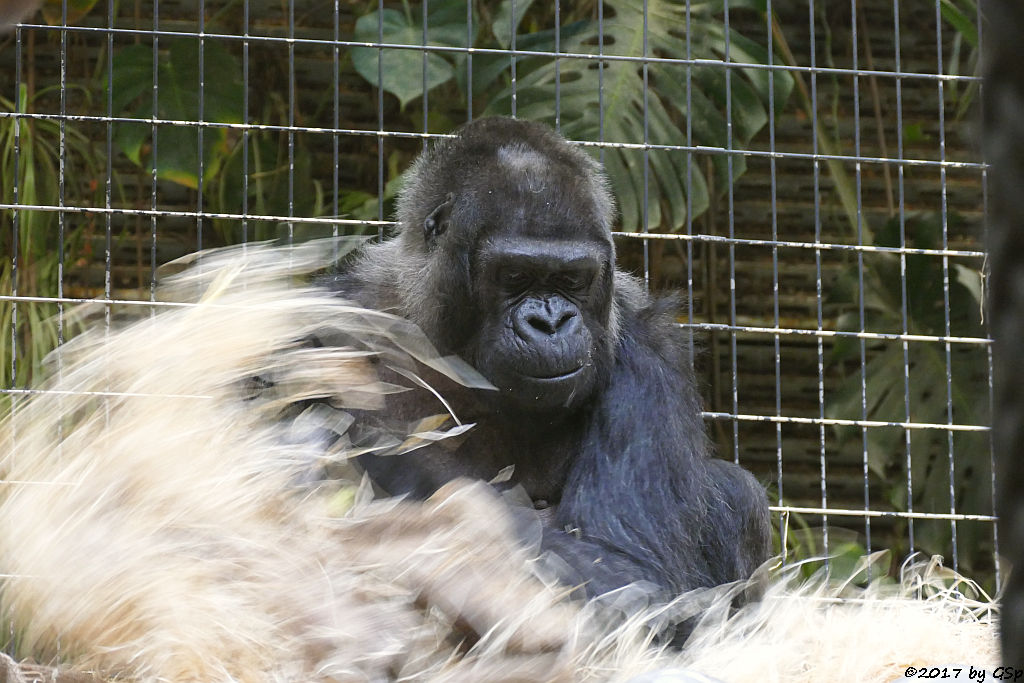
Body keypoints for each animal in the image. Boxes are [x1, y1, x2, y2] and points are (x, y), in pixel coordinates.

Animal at [325, 118, 770, 602]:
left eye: (572, 279)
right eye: (515, 275)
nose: (551, 321)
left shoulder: (649, 347)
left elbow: (630, 575)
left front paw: (405, 467)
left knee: (735, 491)